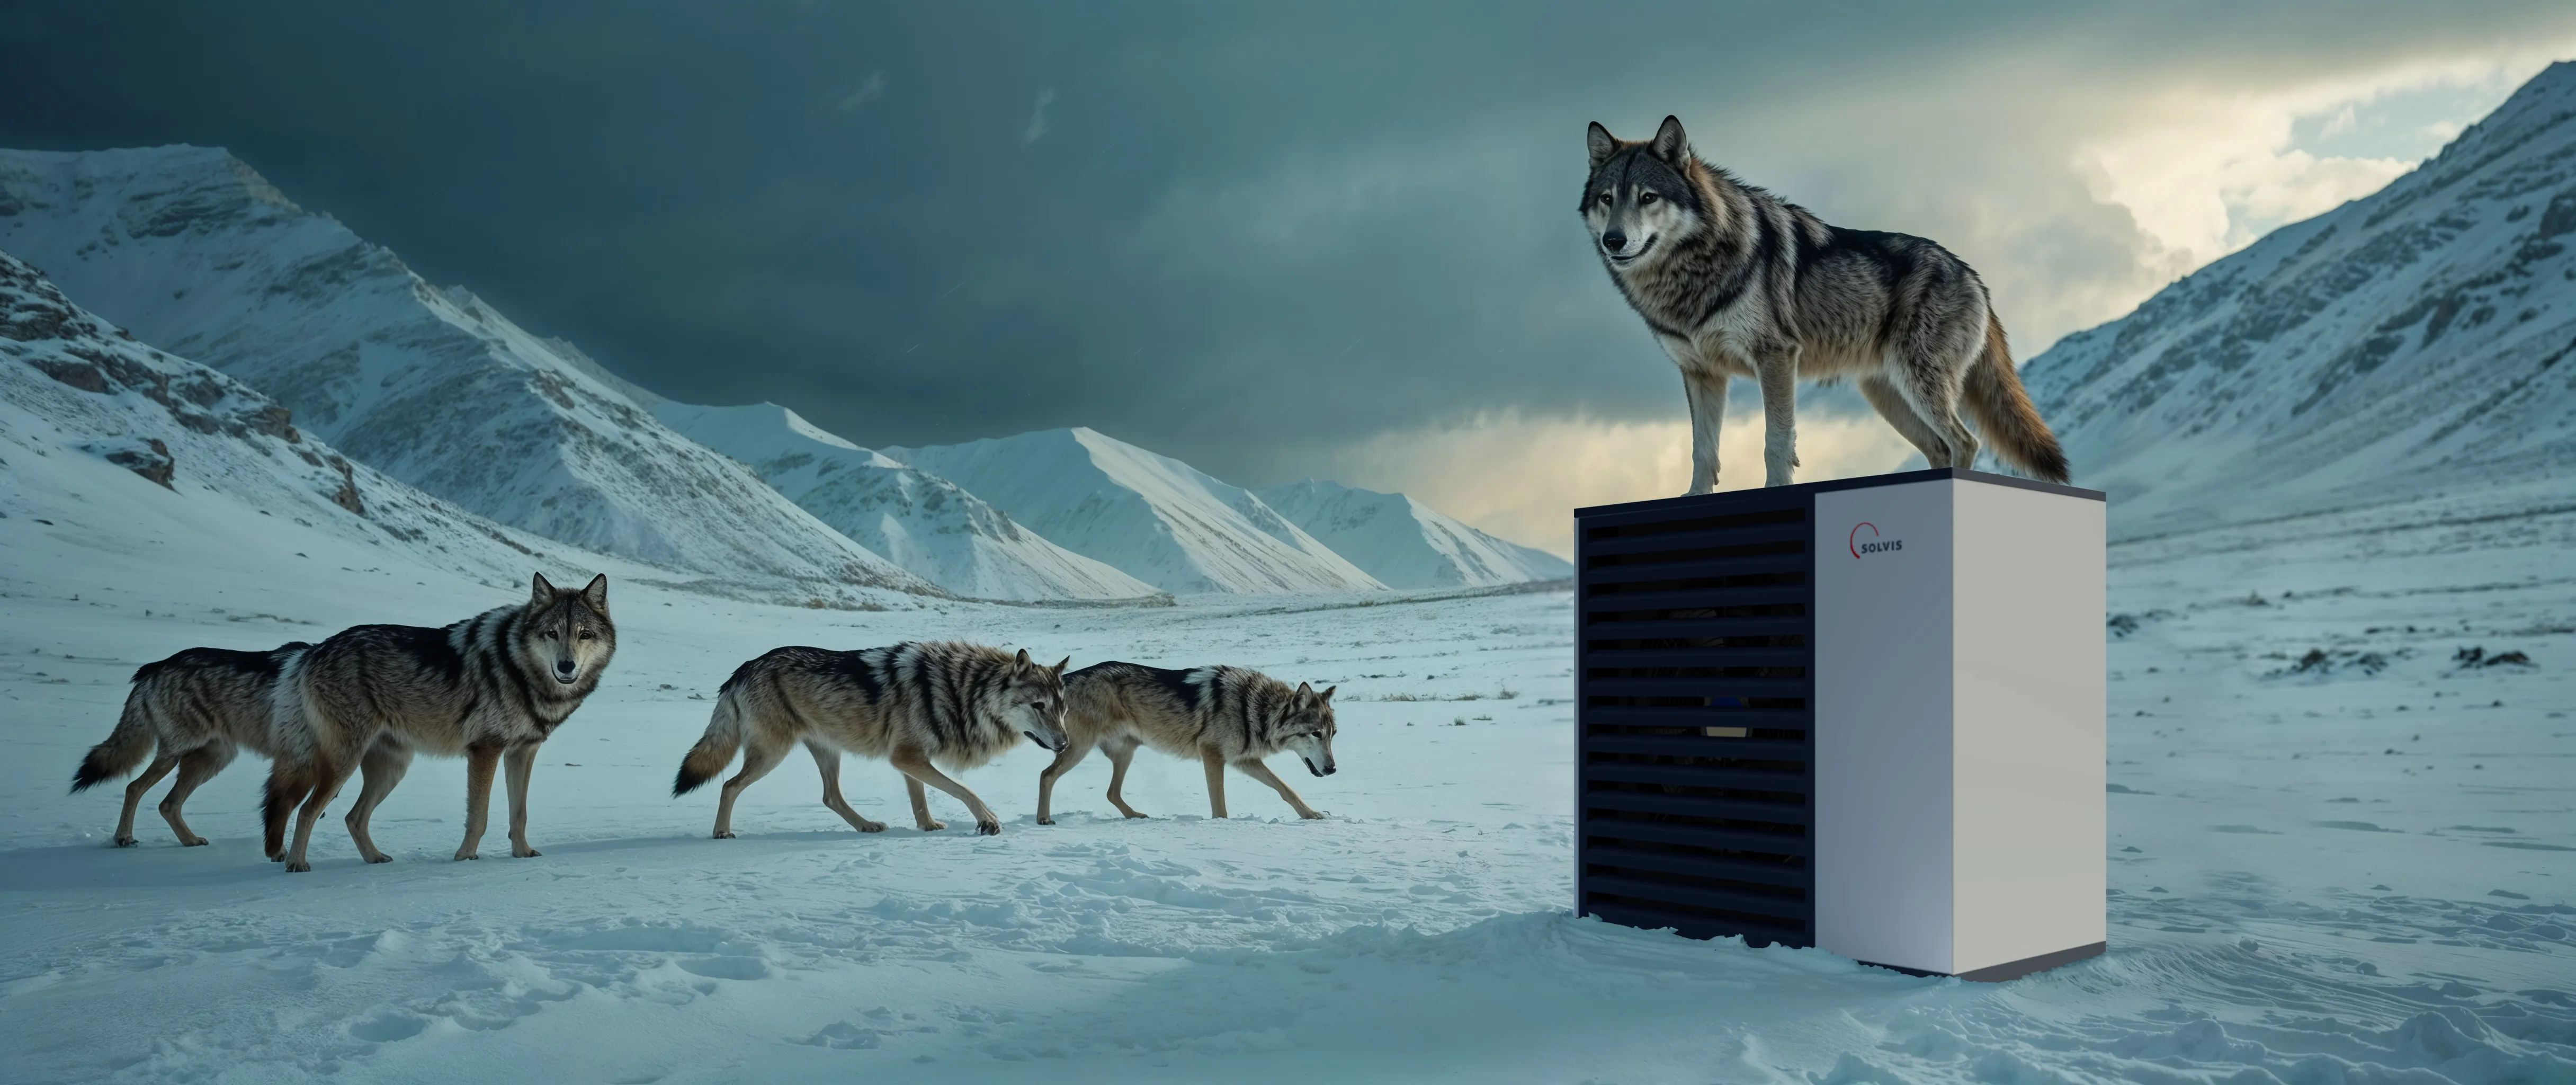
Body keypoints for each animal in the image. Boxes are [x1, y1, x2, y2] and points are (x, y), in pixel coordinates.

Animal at [68, 641, 312, 849]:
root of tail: (155, 667)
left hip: (212, 761)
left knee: (167, 805)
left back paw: (189, 840)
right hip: (176, 756)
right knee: (134, 788)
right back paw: (124, 838)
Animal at [266, 573, 615, 873]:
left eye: (584, 634)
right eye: (552, 633)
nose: (567, 666)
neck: (521, 669)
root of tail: (315, 651)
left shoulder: (523, 752)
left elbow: (520, 814)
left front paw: (522, 855)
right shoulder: (486, 750)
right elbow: (479, 817)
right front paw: (465, 860)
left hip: (391, 771)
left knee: (354, 818)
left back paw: (375, 859)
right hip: (345, 764)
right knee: (307, 811)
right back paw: (296, 864)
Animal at [672, 642, 1070, 838]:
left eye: (1062, 708)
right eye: (1039, 706)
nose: (1065, 744)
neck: (962, 693)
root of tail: (741, 669)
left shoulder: (910, 760)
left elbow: (921, 802)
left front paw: (928, 828)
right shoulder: (907, 757)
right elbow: (964, 790)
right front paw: (988, 821)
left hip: (827, 753)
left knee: (830, 797)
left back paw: (867, 827)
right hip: (772, 755)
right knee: (729, 785)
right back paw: (722, 833)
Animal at [1035, 662, 1337, 825]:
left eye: (1333, 734)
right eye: (1316, 734)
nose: (1333, 769)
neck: (1253, 710)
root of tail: (1065, 679)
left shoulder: (1244, 760)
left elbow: (1286, 789)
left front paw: (1312, 815)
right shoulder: (1212, 755)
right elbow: (1220, 806)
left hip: (1126, 753)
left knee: (1111, 793)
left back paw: (1135, 816)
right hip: (1079, 749)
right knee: (1046, 775)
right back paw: (1044, 819)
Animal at [1583, 115, 2069, 492]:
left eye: (1648, 197)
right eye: (1608, 199)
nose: (1614, 241)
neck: (1689, 274)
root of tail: (1973, 276)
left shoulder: (1776, 357)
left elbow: (1776, 443)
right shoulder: (1701, 374)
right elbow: (1703, 452)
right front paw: (1692, 500)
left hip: (1920, 385)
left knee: (1965, 442)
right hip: (1889, 396)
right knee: (1940, 446)